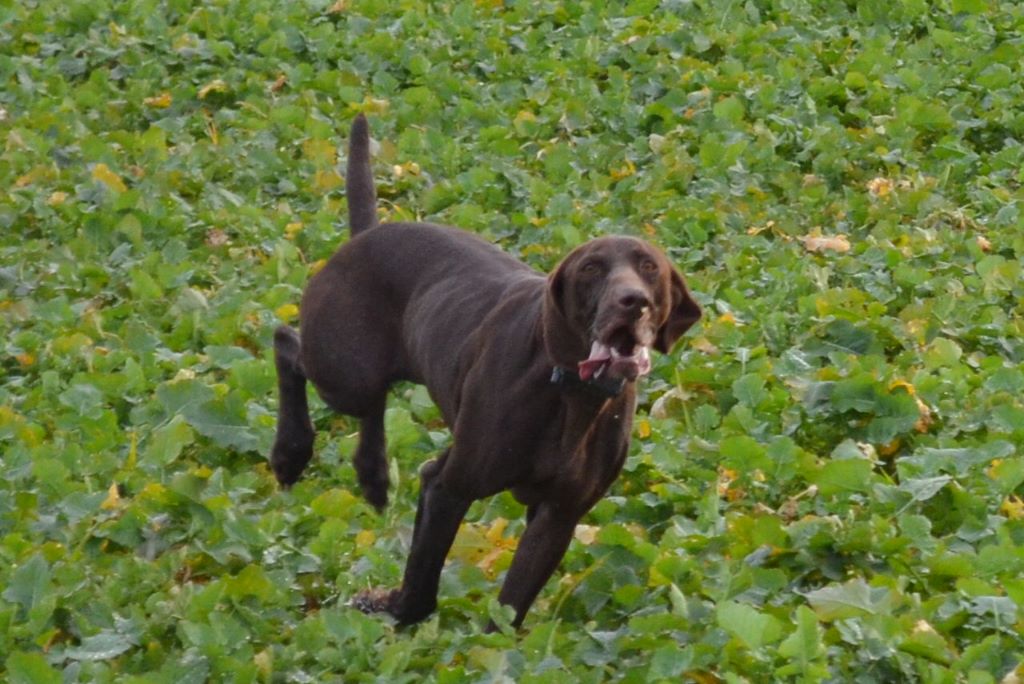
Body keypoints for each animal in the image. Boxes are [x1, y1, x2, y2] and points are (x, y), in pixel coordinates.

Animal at [270, 114, 704, 626]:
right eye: (592, 268)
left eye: (649, 268)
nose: (632, 302)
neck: (573, 397)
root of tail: (362, 238)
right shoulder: (448, 485)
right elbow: (421, 583)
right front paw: (391, 612)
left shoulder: (559, 516)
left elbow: (509, 610)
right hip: (343, 370)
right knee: (287, 344)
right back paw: (290, 453)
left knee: (371, 405)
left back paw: (373, 477)